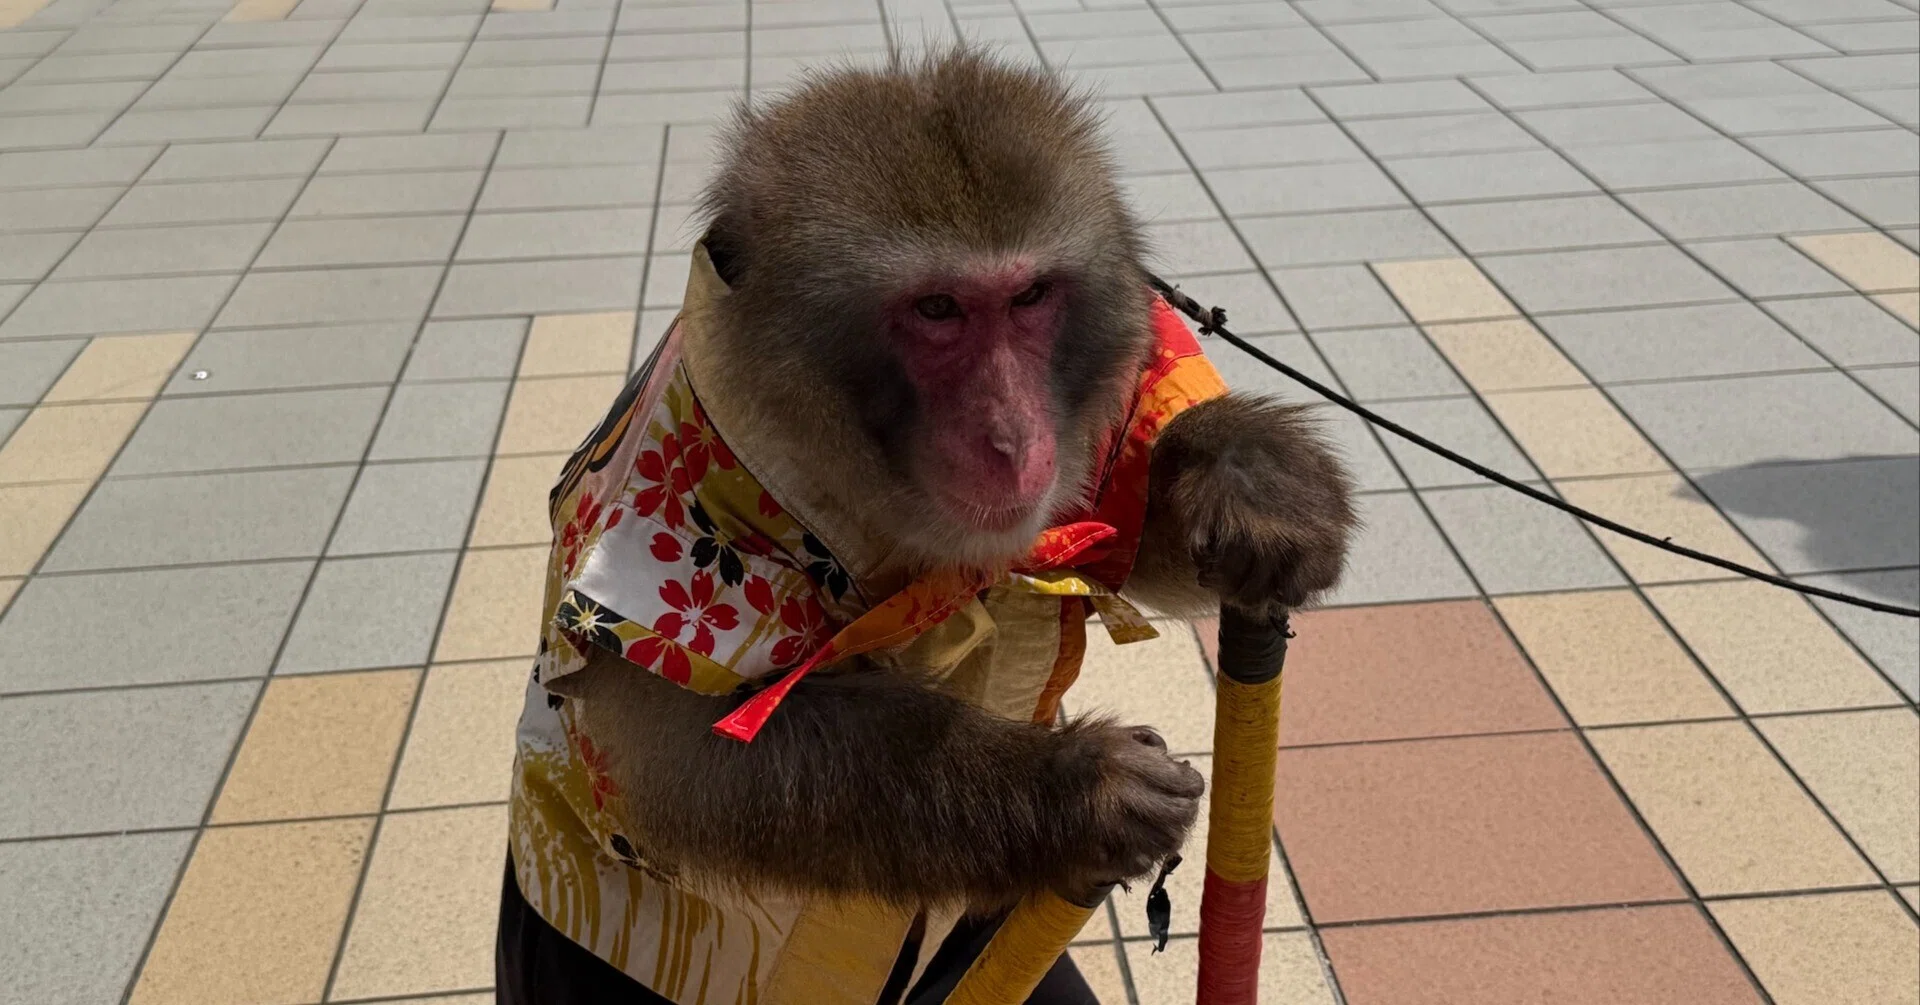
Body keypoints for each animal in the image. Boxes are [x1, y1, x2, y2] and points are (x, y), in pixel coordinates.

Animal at [496, 46, 1356, 1005]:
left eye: (1029, 295)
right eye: (938, 309)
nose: (1012, 436)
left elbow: (1115, 526)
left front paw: (1253, 481)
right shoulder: (676, 509)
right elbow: (691, 763)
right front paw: (1077, 790)